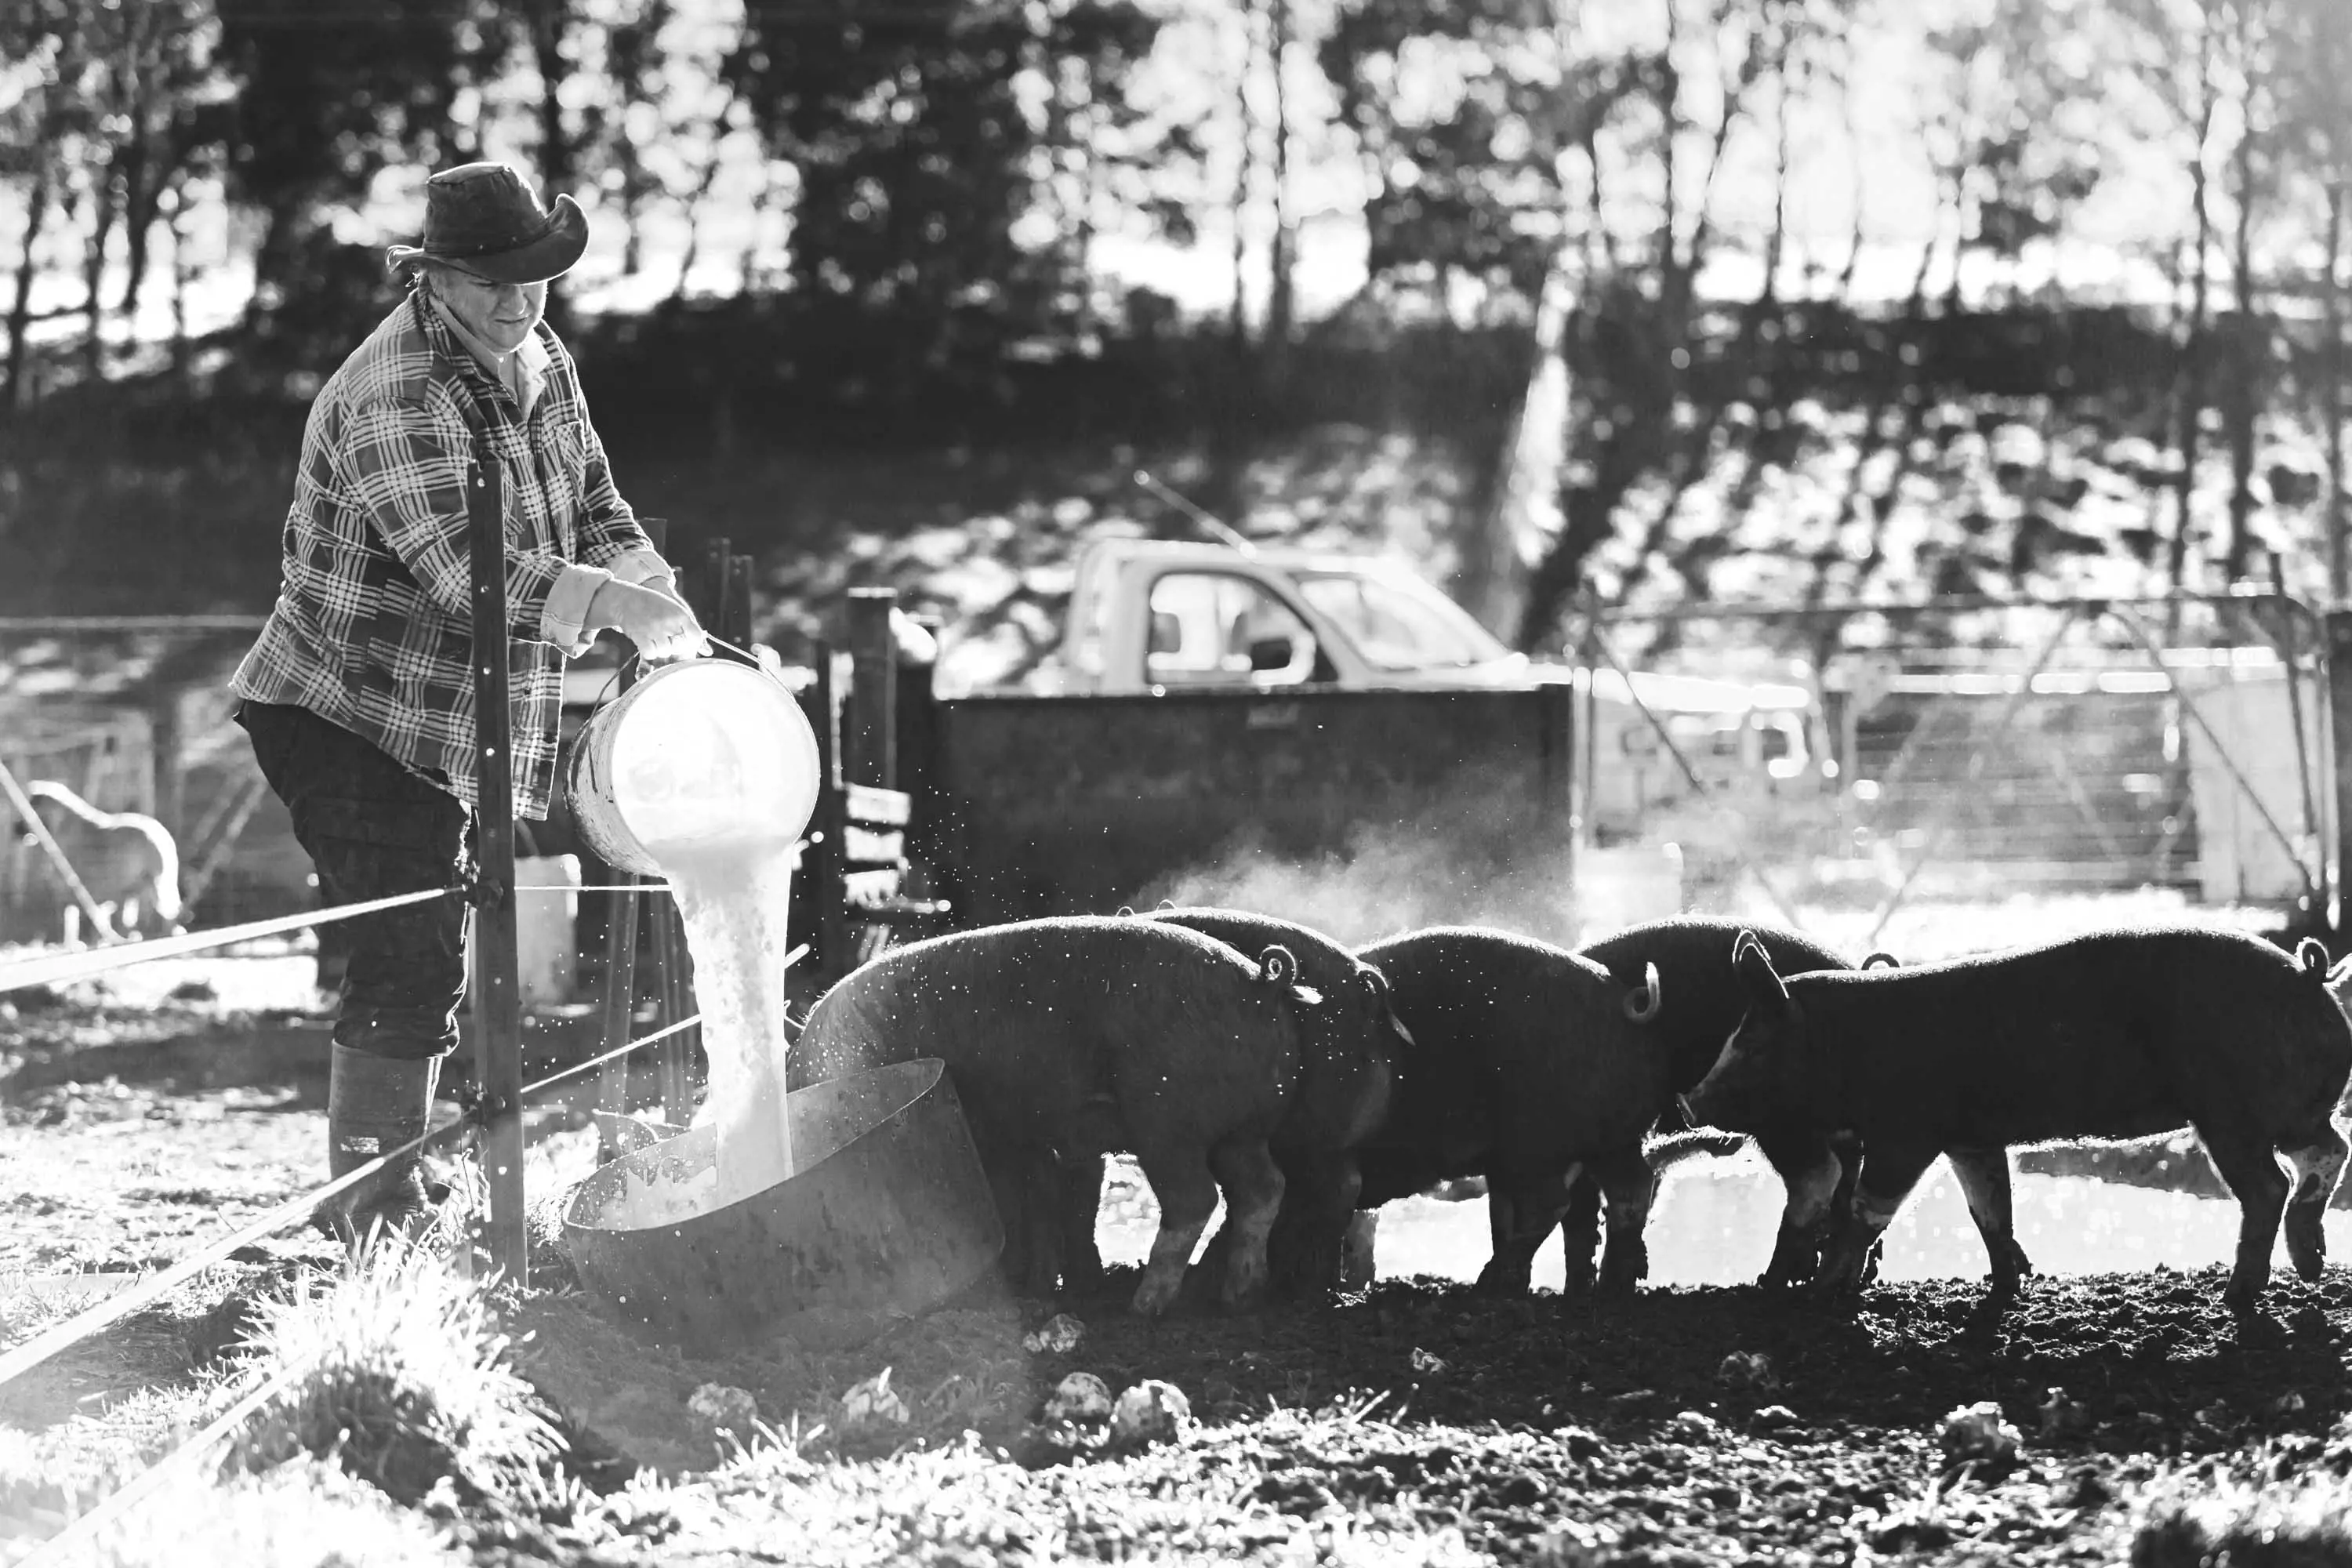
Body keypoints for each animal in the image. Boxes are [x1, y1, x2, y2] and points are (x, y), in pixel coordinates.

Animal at [785, 915, 1324, 1317]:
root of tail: (1263, 981)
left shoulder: (996, 1140)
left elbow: (1019, 1207)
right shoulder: (1036, 1140)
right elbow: (1053, 1206)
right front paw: (1055, 1284)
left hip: (1166, 1120)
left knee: (1196, 1200)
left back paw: (1144, 1305)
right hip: (1242, 1130)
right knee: (1263, 1188)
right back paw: (1240, 1296)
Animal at [1346, 925, 1668, 1298]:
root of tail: (1620, 1007)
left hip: (1535, 1141)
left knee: (1551, 1203)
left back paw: (1490, 1286)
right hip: (1608, 1141)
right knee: (1630, 1188)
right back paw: (1609, 1287)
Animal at [1685, 926, 2352, 1315]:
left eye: (1752, 1044)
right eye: (1735, 1037)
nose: (1692, 1100)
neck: (1845, 1044)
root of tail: (2308, 974)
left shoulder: (1908, 1132)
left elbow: (1864, 1210)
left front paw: (1827, 1292)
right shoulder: (1971, 1139)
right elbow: (1990, 1210)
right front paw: (2005, 1290)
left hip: (2228, 1111)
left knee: (2268, 1185)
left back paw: (2237, 1297)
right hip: (2291, 1113)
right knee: (2328, 1151)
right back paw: (2309, 1262)